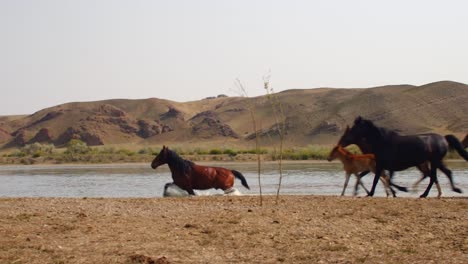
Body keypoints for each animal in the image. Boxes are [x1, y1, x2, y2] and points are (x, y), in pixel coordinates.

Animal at [338, 116, 466, 197]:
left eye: (354, 129)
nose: (340, 143)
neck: (382, 142)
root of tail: (443, 138)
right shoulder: (382, 166)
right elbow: (380, 179)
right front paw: (369, 193)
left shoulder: (385, 166)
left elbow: (383, 180)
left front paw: (400, 190)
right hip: (434, 162)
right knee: (441, 174)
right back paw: (453, 190)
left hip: (434, 161)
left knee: (433, 177)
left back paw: (424, 194)